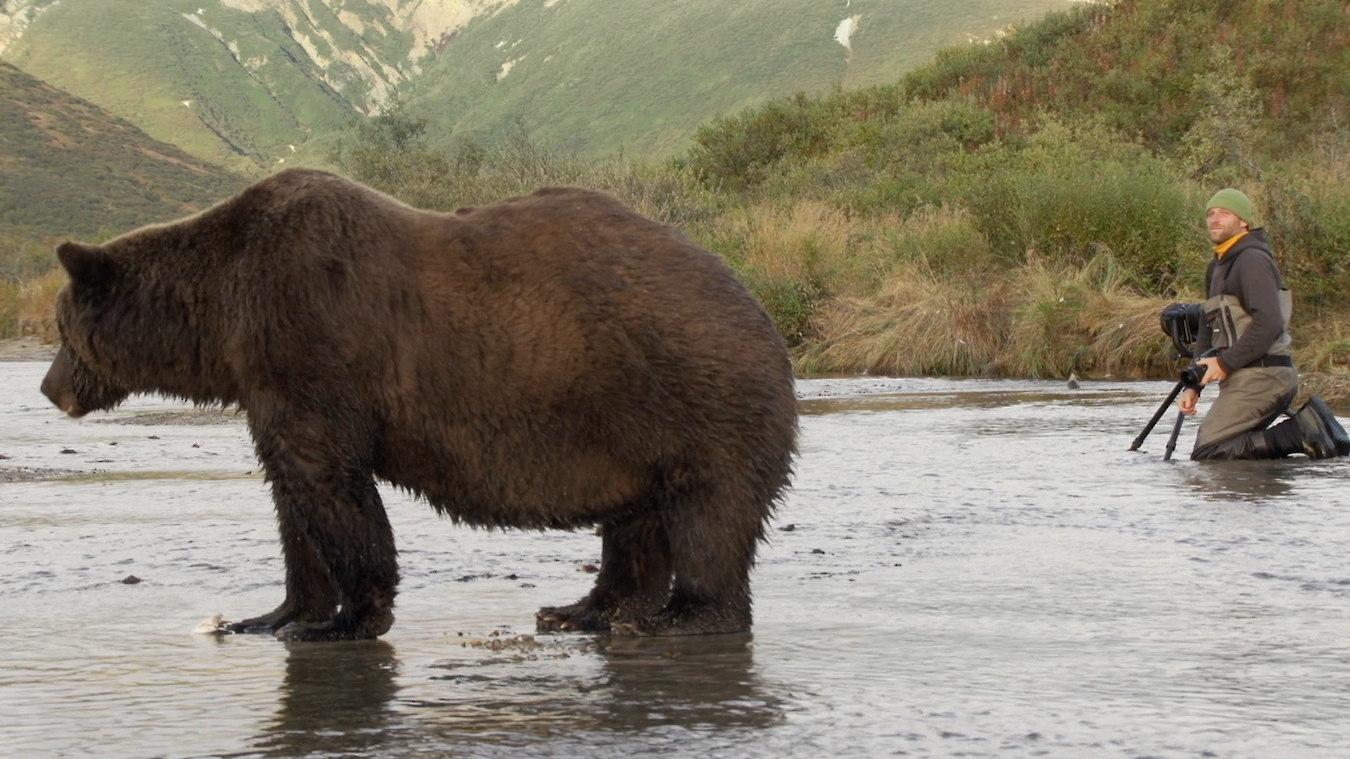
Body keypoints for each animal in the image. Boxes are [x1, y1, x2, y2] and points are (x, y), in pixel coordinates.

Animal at [42, 166, 793, 637]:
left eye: (60, 327)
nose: (49, 387)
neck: (222, 316)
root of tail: (755, 302)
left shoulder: (309, 340)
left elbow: (332, 488)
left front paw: (348, 619)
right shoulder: (269, 381)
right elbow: (291, 498)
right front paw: (275, 614)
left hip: (693, 392)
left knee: (709, 512)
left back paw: (678, 615)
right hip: (632, 426)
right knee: (635, 521)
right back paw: (581, 609)